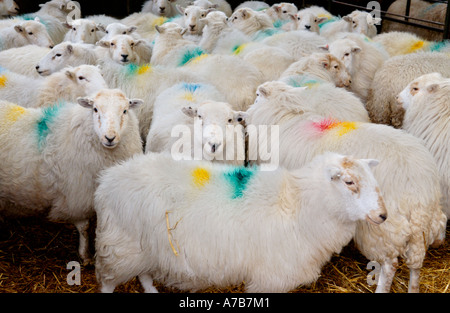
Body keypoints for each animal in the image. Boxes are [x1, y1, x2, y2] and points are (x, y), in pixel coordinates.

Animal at [0, 88, 143, 264]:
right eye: (95, 109)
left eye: (125, 111)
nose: (110, 138)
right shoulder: (77, 195)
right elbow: (84, 228)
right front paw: (85, 255)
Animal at [94, 149, 386, 292]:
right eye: (349, 182)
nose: (383, 215)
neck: (298, 204)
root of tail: (108, 178)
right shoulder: (270, 279)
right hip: (121, 246)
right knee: (108, 283)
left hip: (144, 247)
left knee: (143, 274)